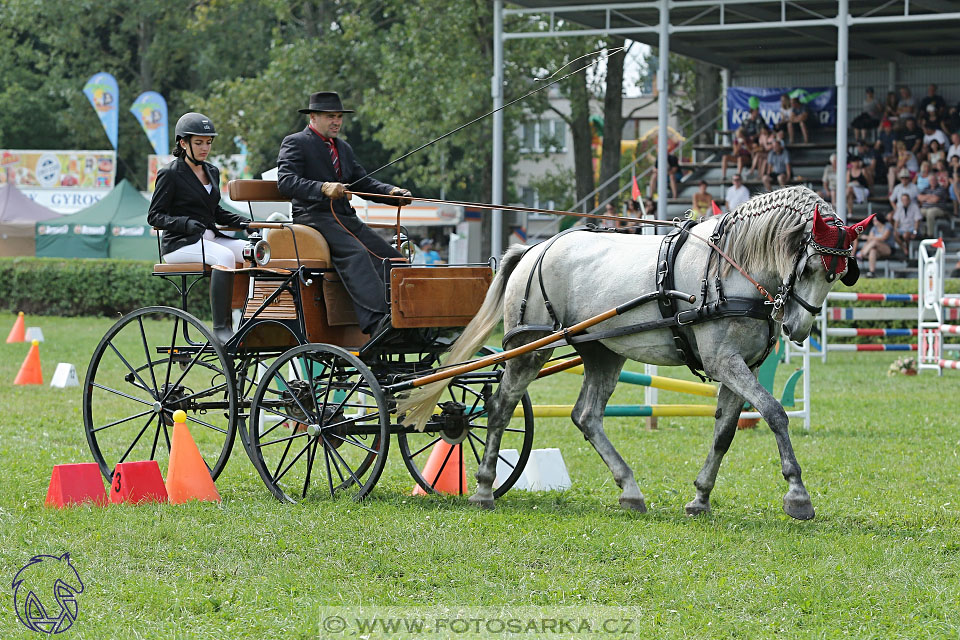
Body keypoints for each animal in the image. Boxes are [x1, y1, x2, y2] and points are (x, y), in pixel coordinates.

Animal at [398, 185, 872, 520]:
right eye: (809, 266)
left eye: (838, 274)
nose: (798, 328)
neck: (731, 268)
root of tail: (534, 249)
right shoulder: (724, 362)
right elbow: (774, 412)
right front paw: (797, 494)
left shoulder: (744, 366)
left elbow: (724, 432)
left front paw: (700, 498)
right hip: (529, 347)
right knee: (500, 406)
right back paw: (482, 488)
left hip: (601, 351)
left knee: (586, 416)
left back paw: (629, 489)